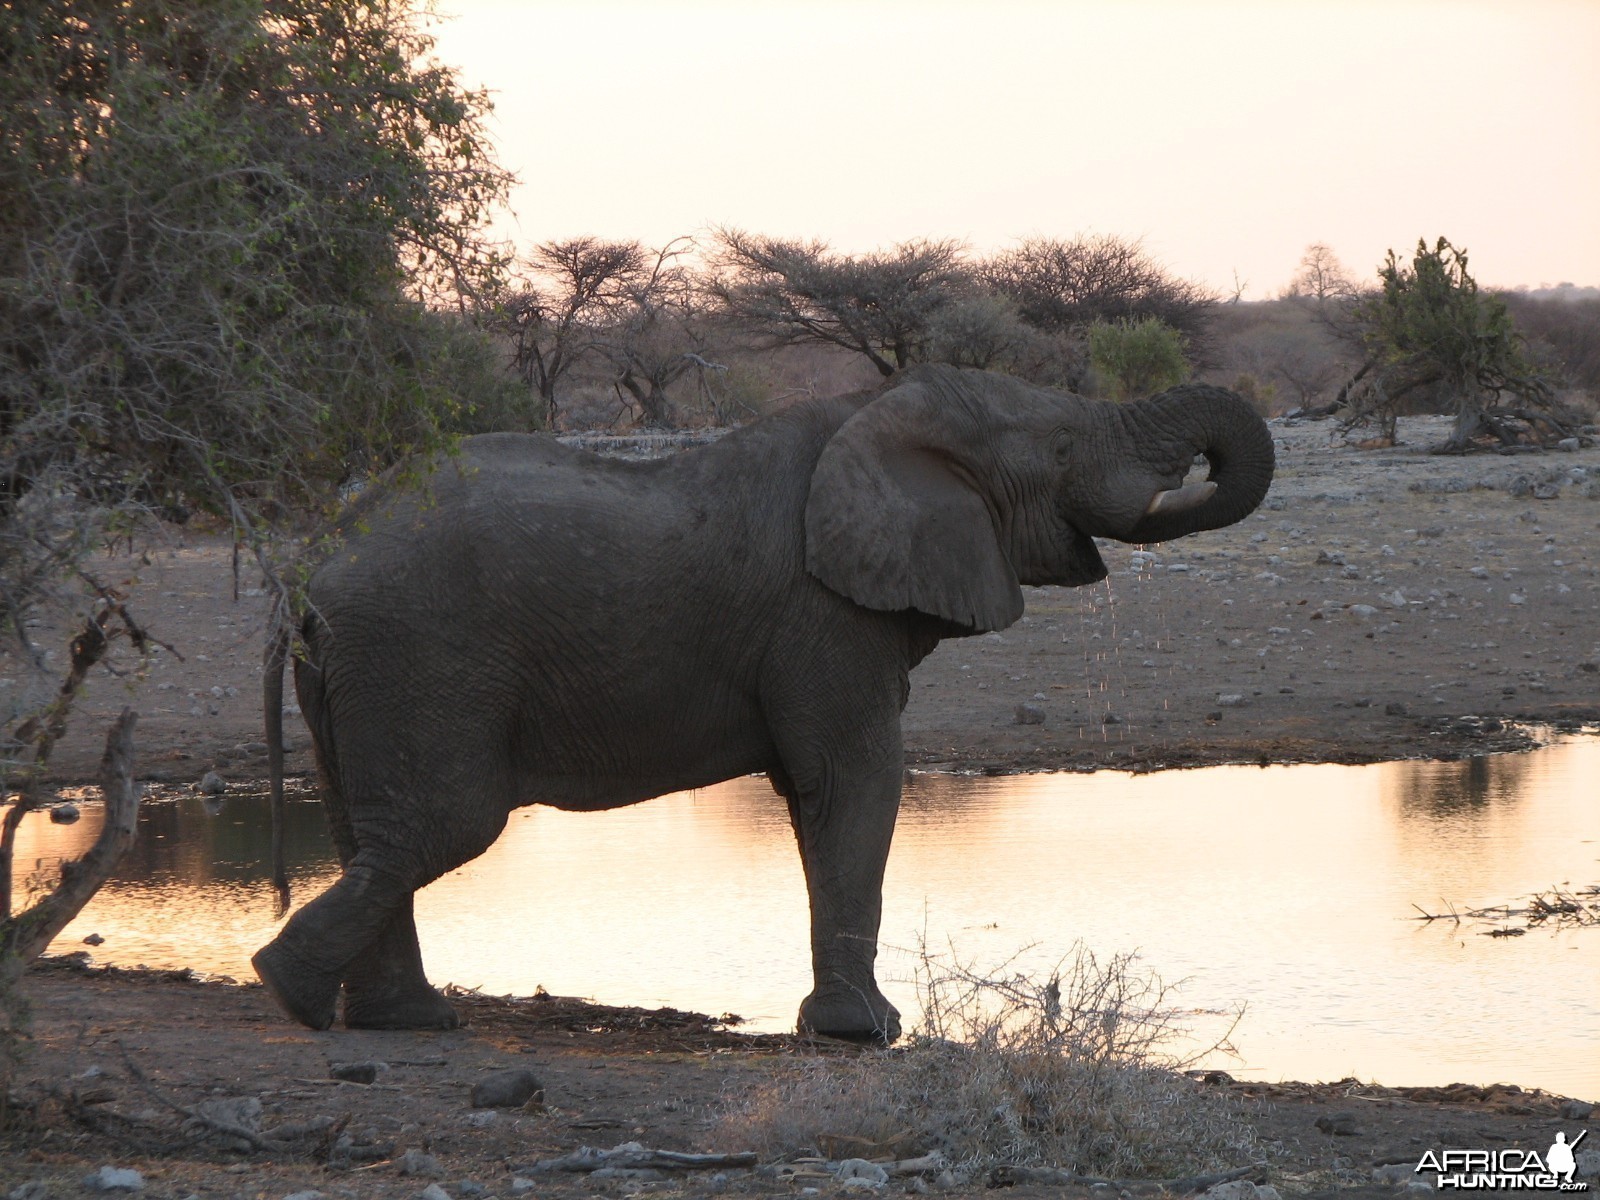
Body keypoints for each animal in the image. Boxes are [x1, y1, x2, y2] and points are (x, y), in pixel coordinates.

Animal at [249, 366, 1273, 1043]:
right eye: (1061, 448)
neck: (878, 413)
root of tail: (318, 555)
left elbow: (817, 794)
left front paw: (845, 1027)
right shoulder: (822, 613)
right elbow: (857, 780)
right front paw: (870, 1033)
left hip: (362, 668)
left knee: (369, 828)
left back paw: (395, 1020)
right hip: (421, 655)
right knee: (445, 822)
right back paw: (293, 995)